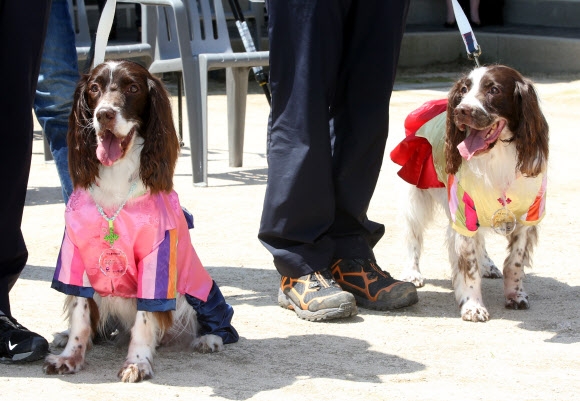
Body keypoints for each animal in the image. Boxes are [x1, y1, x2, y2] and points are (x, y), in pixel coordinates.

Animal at [42, 60, 238, 382]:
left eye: (133, 88)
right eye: (94, 88)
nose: (104, 114)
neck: (116, 177)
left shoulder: (156, 257)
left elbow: (145, 318)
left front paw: (137, 362)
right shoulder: (76, 253)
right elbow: (81, 312)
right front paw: (70, 356)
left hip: (200, 291)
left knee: (218, 319)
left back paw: (209, 338)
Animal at [390, 65, 548, 322]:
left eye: (494, 90)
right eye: (464, 90)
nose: (461, 110)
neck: (497, 156)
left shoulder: (528, 216)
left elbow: (514, 262)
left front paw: (514, 295)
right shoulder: (462, 215)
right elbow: (468, 264)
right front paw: (472, 306)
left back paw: (488, 265)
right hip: (416, 196)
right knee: (413, 235)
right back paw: (412, 272)